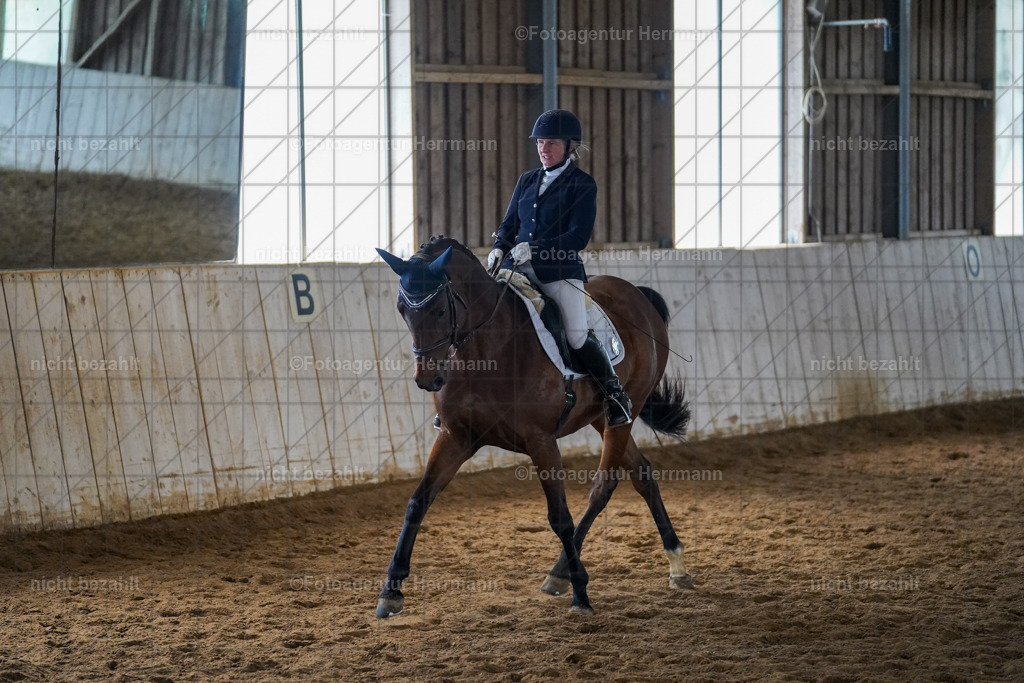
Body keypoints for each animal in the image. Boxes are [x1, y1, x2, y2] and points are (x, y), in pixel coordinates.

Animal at [374, 235, 691, 617]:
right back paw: (674, 566)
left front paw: (581, 595)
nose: (427, 379)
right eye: (402, 310)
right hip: (602, 418)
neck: (488, 350)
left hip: (626, 410)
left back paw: (564, 574)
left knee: (603, 486)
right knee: (642, 473)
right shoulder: (455, 436)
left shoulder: (541, 442)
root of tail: (636, 294)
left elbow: (560, 517)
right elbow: (417, 502)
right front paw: (390, 591)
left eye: (438, 310)